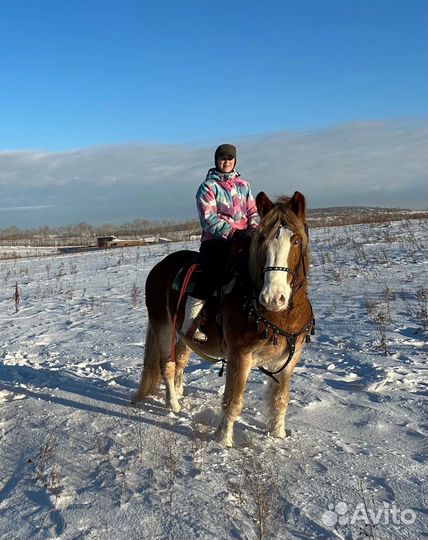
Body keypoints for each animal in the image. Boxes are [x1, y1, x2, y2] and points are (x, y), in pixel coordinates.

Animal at [134, 191, 314, 448]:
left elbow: (280, 400)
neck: (279, 316)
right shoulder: (240, 356)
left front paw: (278, 435)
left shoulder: (288, 361)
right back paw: (173, 404)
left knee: (180, 361)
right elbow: (233, 401)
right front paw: (223, 440)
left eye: (296, 240)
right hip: (163, 326)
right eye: (262, 240)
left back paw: (179, 393)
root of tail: (158, 268)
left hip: (184, 335)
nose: (273, 297)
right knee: (167, 365)